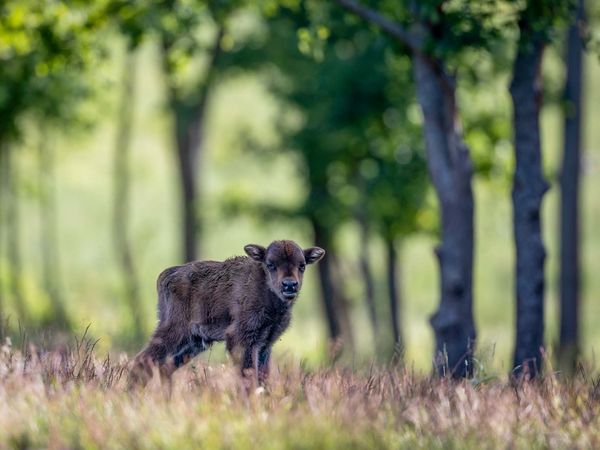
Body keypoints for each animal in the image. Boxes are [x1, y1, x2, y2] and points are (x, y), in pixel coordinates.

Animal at [128, 239, 322, 386]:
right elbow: (247, 377)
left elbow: (262, 378)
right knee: (143, 361)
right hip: (175, 331)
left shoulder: (265, 344)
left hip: (194, 342)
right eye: (270, 264)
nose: (289, 285)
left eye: (302, 265)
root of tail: (166, 274)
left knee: (164, 368)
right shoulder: (240, 339)